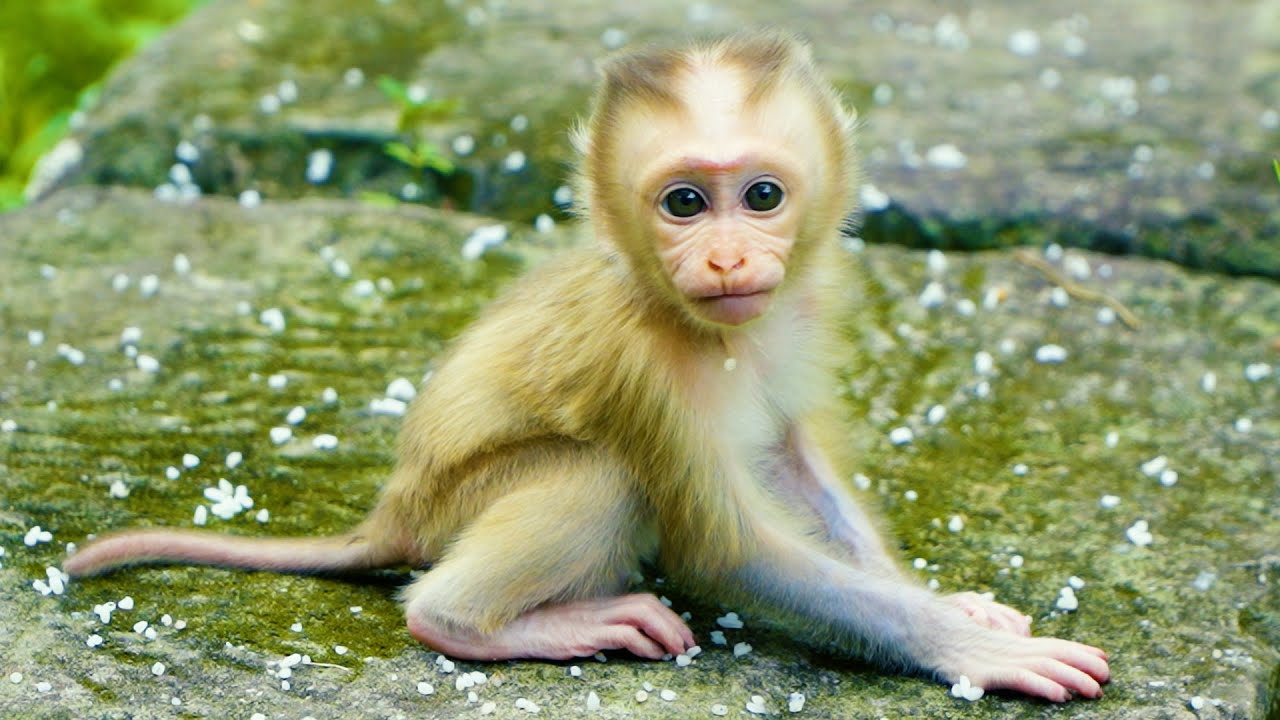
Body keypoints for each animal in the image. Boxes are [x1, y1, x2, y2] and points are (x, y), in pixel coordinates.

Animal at [64, 32, 1109, 702]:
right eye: (685, 202)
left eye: (761, 196)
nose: (726, 260)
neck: (701, 325)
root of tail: (395, 508)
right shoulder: (631, 361)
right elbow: (730, 546)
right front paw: (964, 647)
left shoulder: (798, 314)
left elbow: (788, 458)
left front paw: (947, 602)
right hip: (461, 504)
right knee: (599, 477)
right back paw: (480, 622)